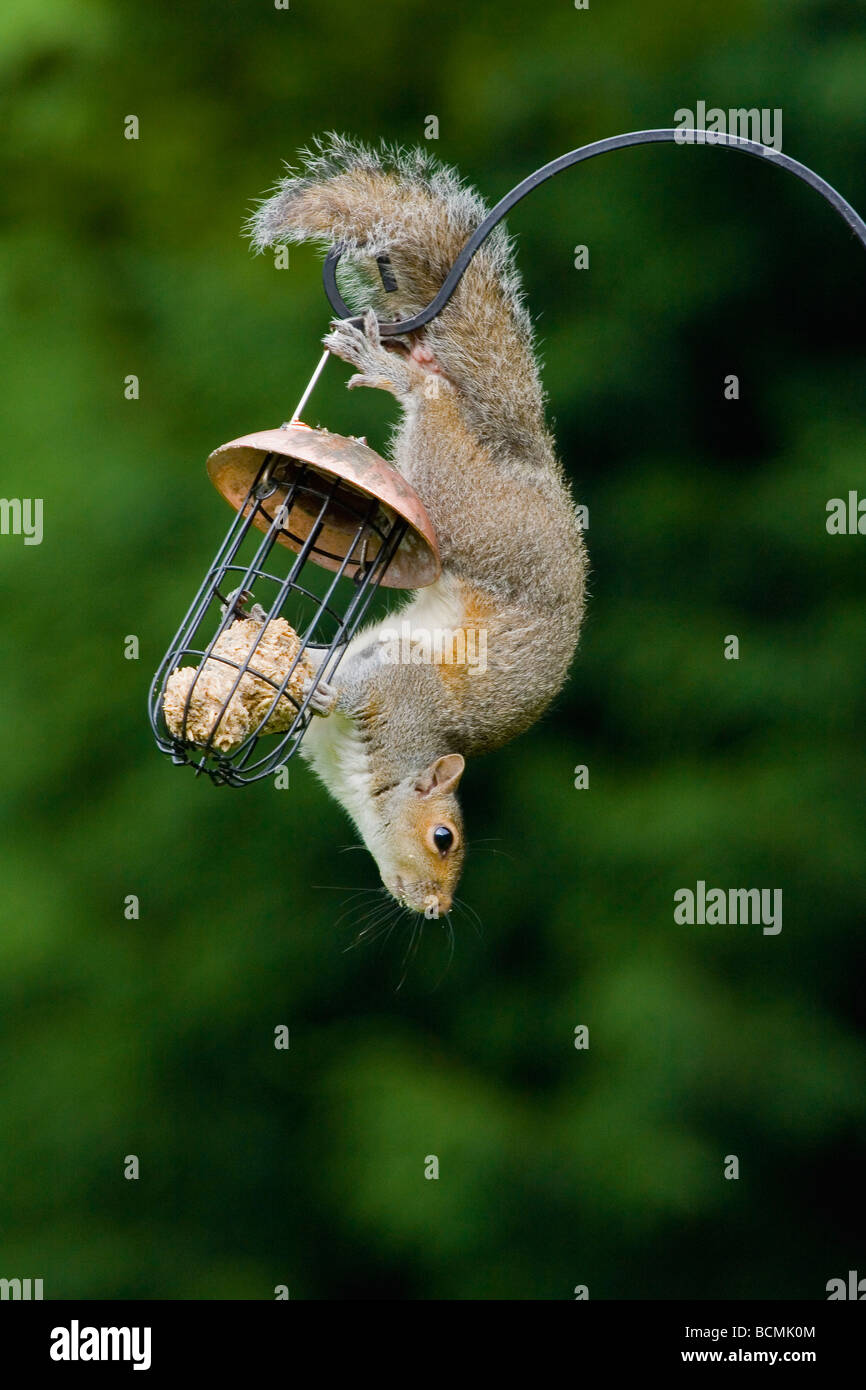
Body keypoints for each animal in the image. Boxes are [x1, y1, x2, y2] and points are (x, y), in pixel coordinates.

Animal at [248, 135, 587, 919]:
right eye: (443, 839)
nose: (436, 910)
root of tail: (536, 472)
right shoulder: (403, 693)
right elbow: (351, 676)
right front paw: (302, 675)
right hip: (459, 502)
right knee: (431, 397)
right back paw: (396, 367)